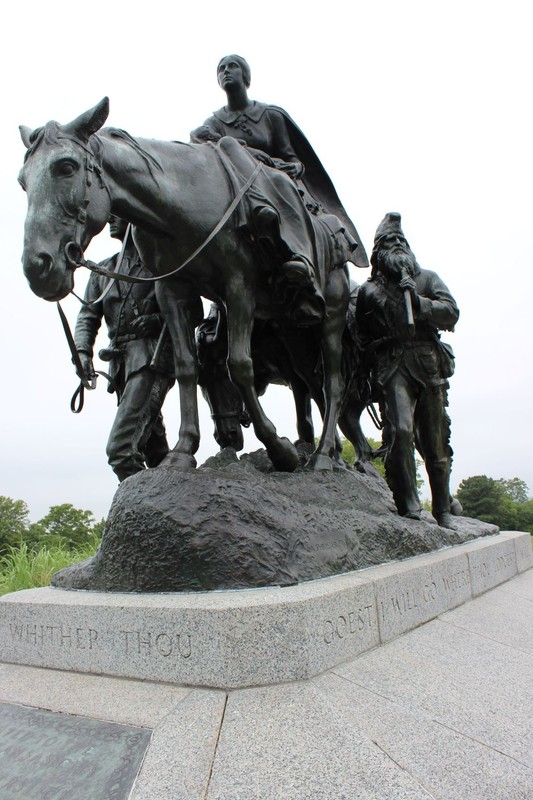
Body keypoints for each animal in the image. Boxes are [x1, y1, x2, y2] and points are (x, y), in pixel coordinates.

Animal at [18, 97, 356, 472]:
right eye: (22, 181)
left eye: (66, 166)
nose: (38, 267)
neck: (183, 202)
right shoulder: (172, 291)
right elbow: (185, 367)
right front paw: (182, 450)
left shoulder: (238, 287)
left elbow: (239, 365)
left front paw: (279, 449)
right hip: (292, 330)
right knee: (311, 384)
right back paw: (333, 453)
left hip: (332, 314)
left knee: (333, 383)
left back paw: (322, 457)